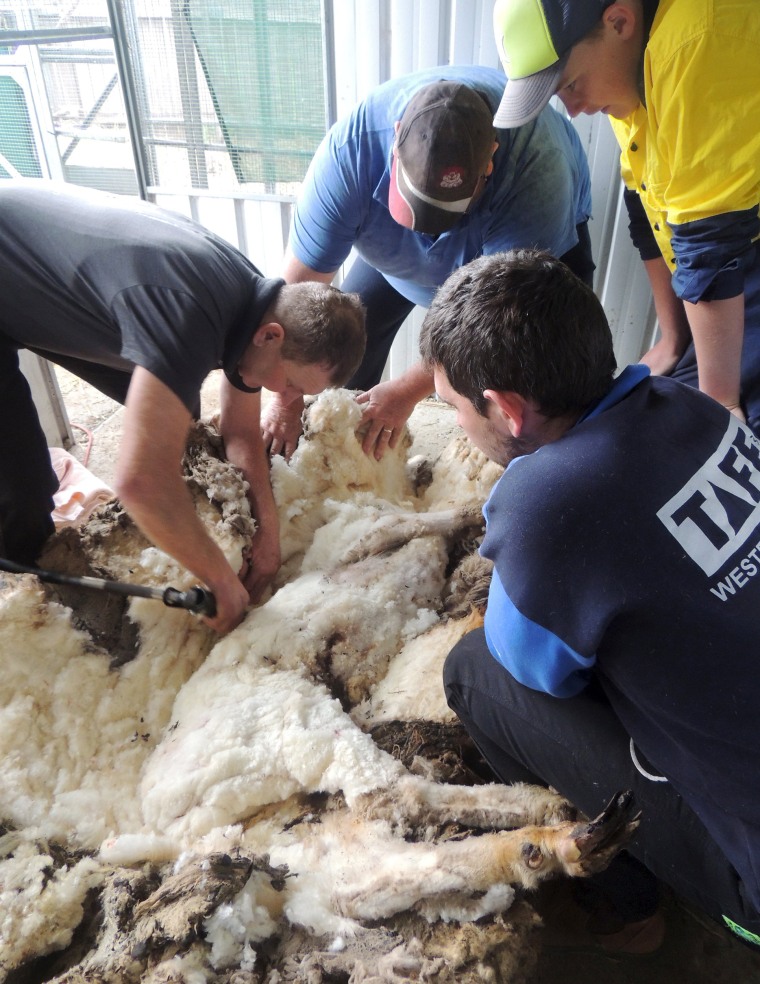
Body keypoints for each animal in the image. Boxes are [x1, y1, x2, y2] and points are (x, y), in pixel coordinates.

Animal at [0, 392, 636, 984]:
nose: (397, 419)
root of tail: (169, 823)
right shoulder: (372, 534)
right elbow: (429, 522)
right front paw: (472, 517)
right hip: (301, 724)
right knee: (393, 797)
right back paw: (550, 819)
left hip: (296, 819)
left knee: (371, 877)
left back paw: (555, 837)